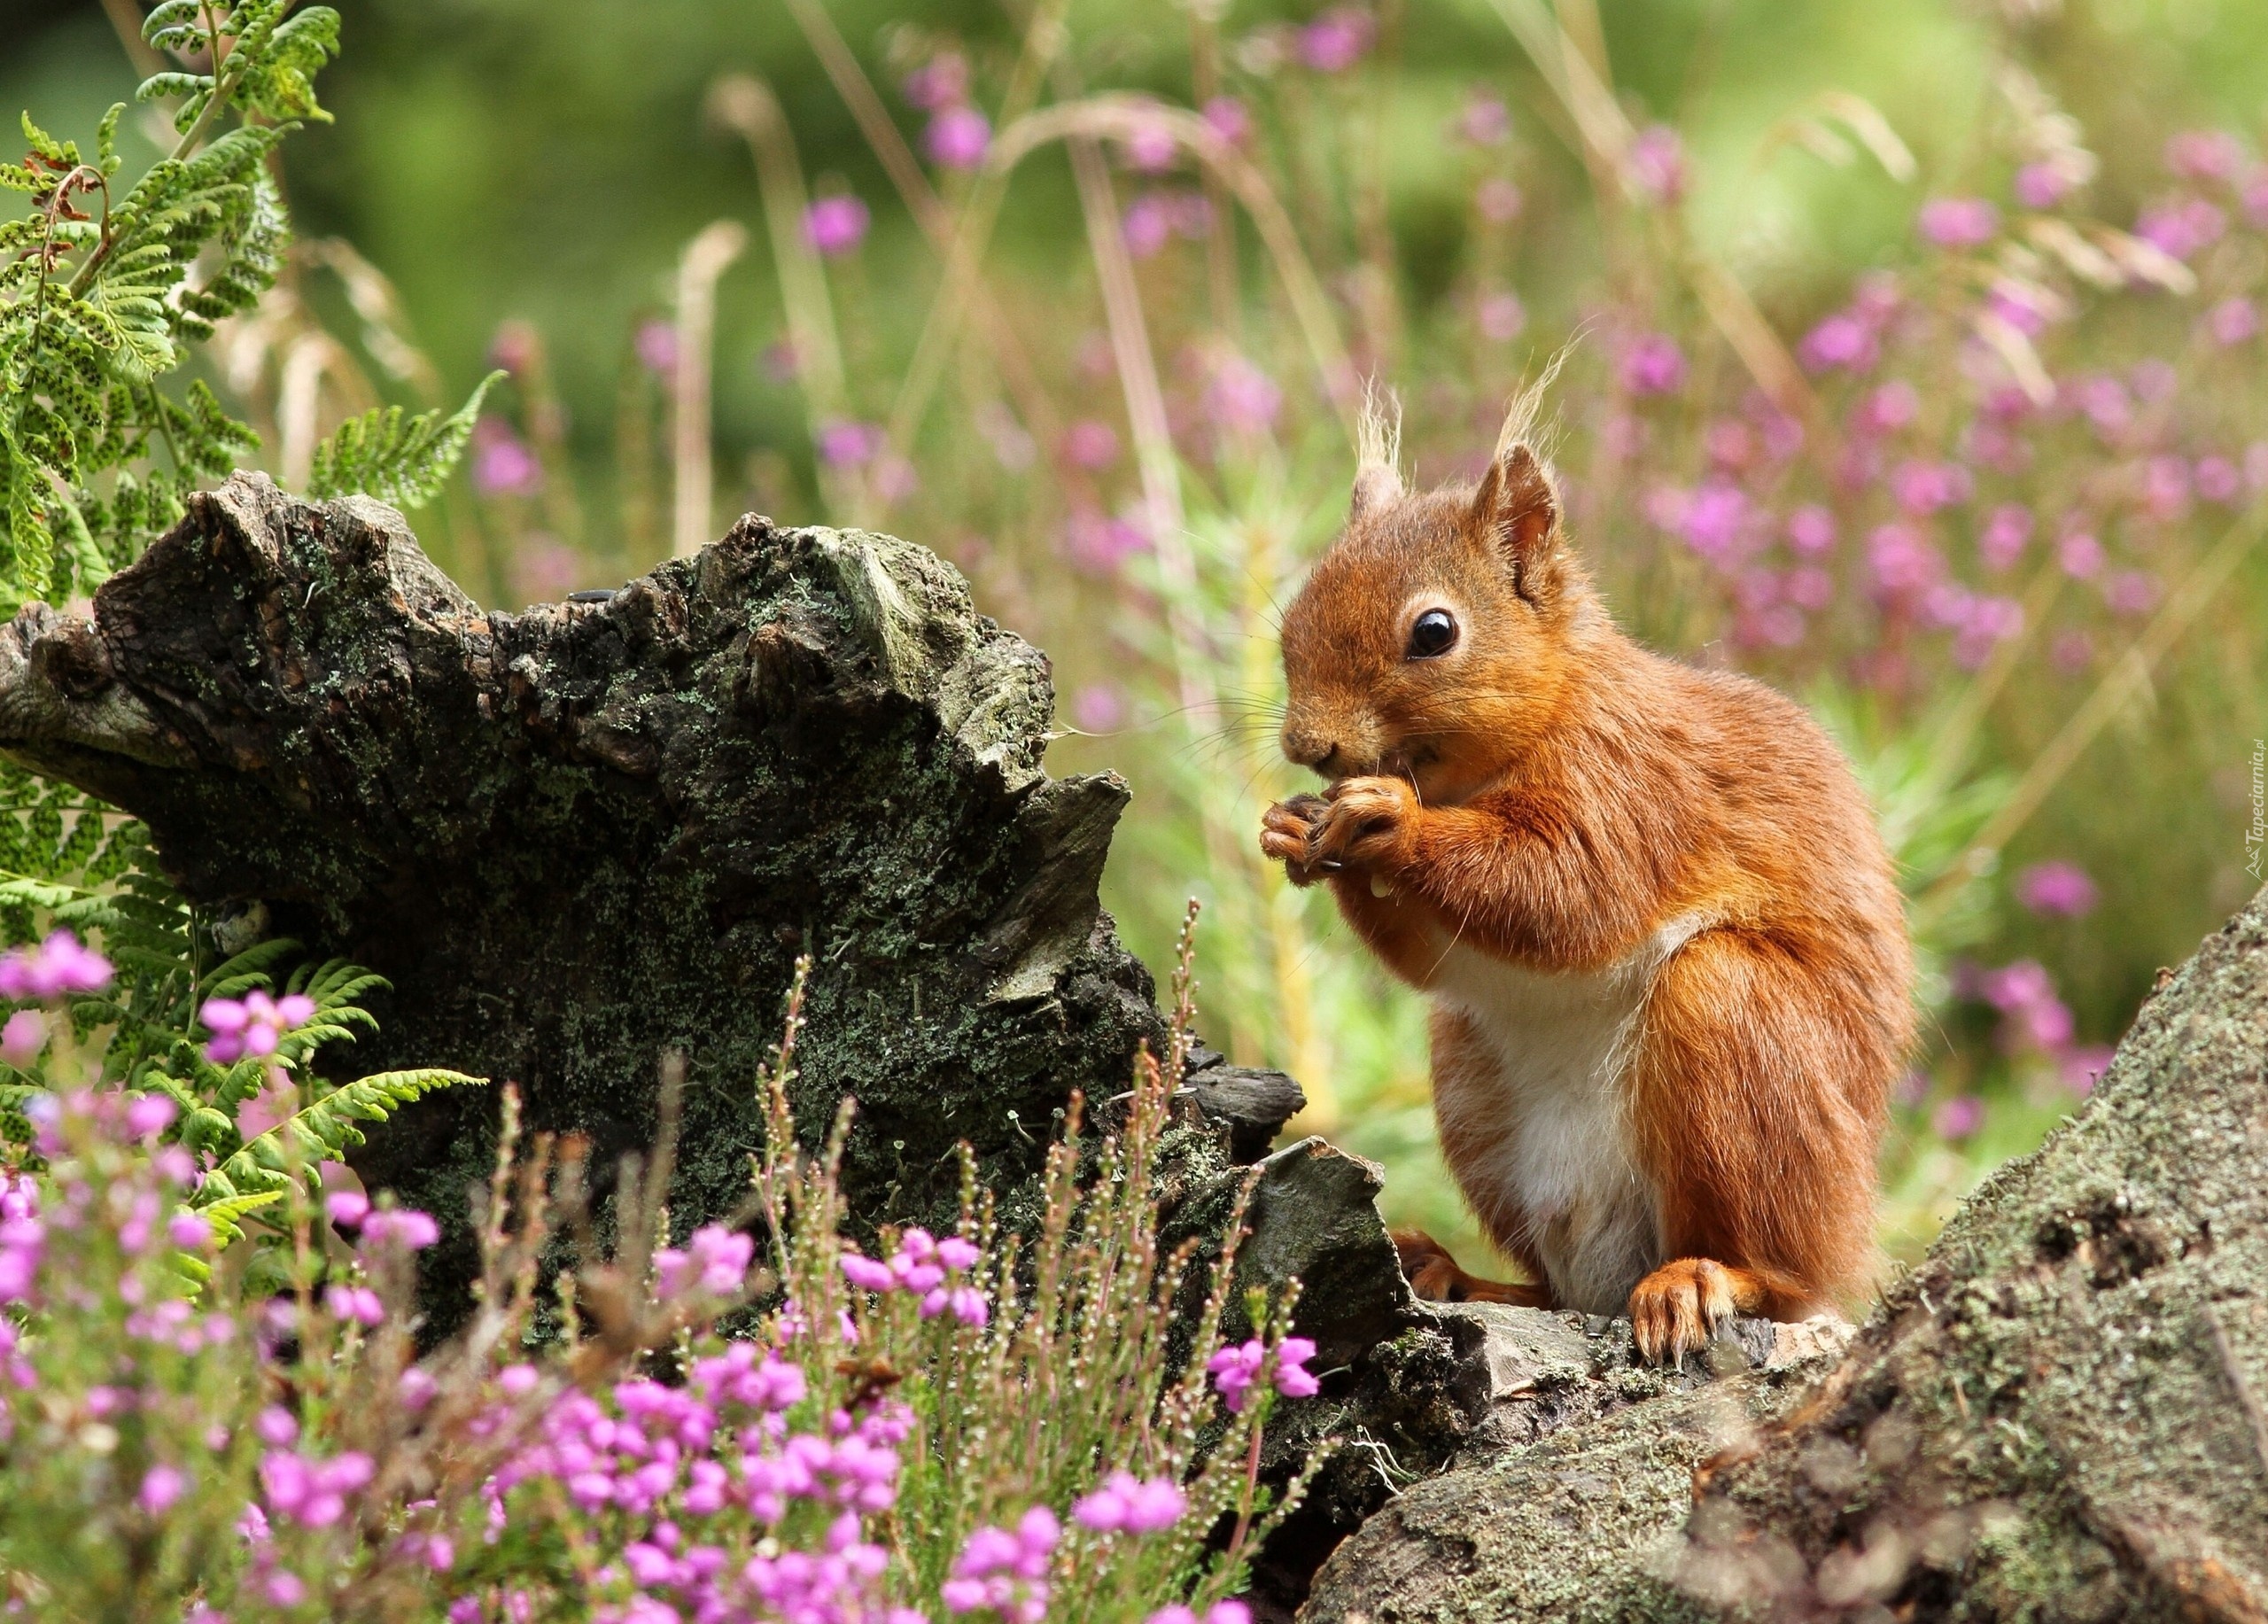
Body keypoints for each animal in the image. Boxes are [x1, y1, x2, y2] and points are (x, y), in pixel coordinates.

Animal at [1261, 392, 1914, 1361]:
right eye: (1290, 621)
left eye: (1433, 632)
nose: (1309, 744)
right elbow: (1433, 956)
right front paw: (1292, 826)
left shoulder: (1634, 787)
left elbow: (1563, 892)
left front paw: (1389, 820)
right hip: (1471, 1090)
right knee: (1550, 1286)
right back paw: (1458, 1273)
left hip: (1735, 1022)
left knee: (1781, 1276)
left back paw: (1701, 1278)